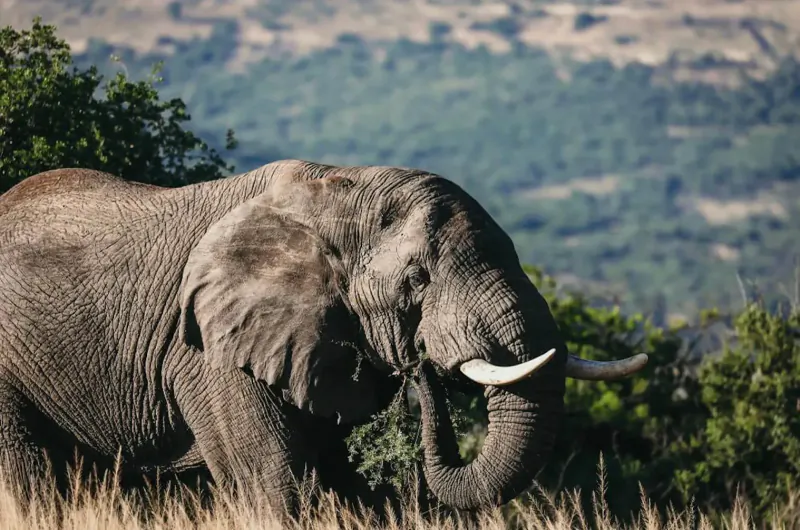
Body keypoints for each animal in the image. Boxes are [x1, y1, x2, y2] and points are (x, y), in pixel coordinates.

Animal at [0, 159, 647, 516]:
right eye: (417, 280)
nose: (422, 366)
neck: (338, 192)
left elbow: (343, 483)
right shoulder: (209, 351)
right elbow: (273, 483)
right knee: (28, 479)